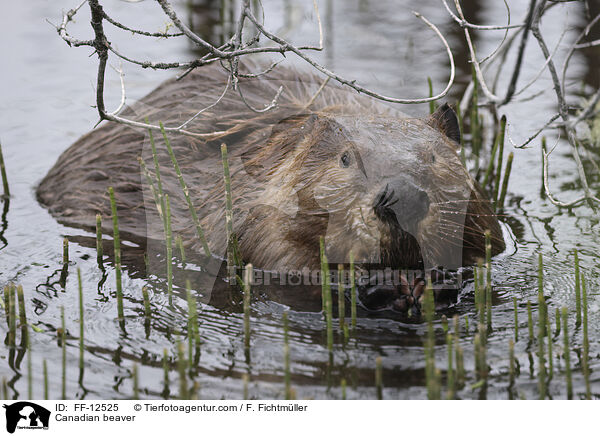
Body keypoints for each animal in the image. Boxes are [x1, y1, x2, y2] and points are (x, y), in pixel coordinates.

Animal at [36, 61, 506, 312]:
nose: (401, 196)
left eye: (435, 158)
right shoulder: (249, 212)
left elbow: (489, 253)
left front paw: (440, 282)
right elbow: (279, 265)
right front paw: (379, 286)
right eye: (346, 158)